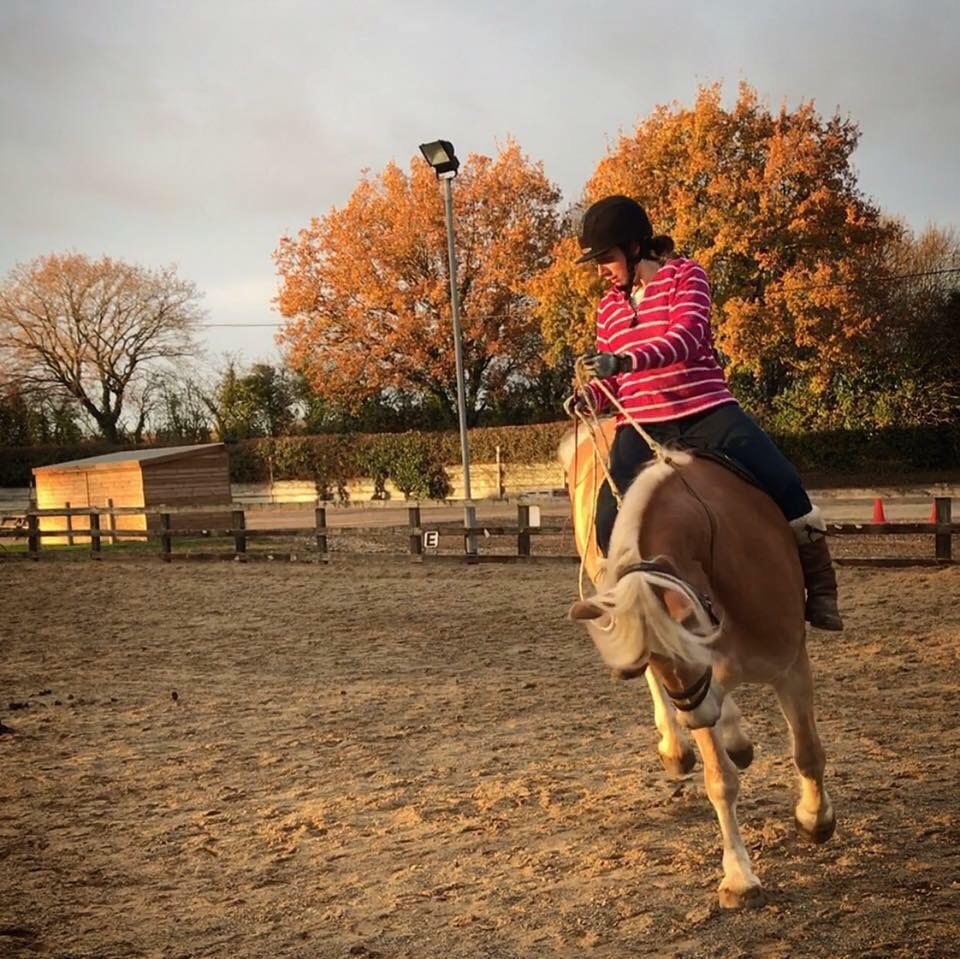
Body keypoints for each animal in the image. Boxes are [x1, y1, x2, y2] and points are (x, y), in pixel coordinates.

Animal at [559, 424, 836, 909]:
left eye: (687, 646)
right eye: (656, 657)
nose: (697, 714)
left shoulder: (790, 666)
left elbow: (807, 752)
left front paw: (814, 818)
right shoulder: (691, 686)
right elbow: (719, 781)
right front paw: (739, 876)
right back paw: (681, 745)